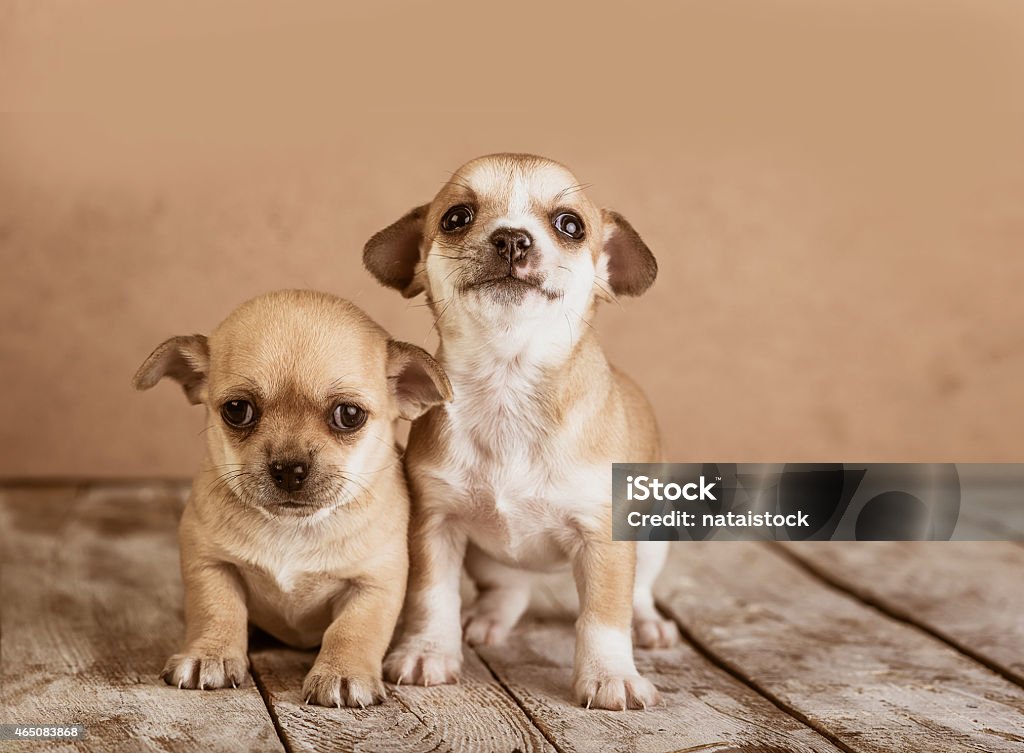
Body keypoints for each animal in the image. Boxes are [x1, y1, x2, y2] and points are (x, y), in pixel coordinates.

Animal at [130, 288, 450, 704]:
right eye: (237, 410)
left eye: (349, 415)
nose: (289, 468)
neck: (293, 528)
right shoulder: (210, 564)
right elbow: (216, 609)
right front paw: (210, 654)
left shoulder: (373, 585)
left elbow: (354, 630)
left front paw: (343, 673)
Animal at [364, 154, 675, 713]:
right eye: (457, 218)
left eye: (570, 225)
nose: (512, 238)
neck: (508, 382)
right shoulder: (435, 526)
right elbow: (431, 597)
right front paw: (428, 651)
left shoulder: (604, 537)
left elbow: (603, 614)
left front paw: (610, 675)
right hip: (489, 562)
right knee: (509, 590)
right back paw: (485, 619)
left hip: (654, 539)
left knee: (637, 593)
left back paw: (649, 625)